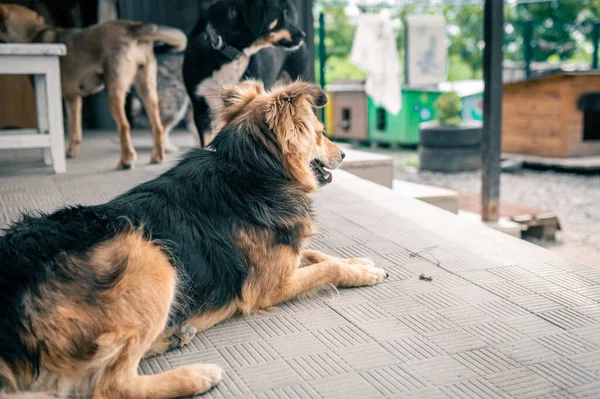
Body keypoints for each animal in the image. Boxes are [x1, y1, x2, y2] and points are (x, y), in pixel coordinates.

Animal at [0, 4, 186, 170]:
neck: (33, 33)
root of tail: (131, 26)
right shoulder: (73, 99)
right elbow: (75, 130)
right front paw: (70, 152)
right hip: (147, 89)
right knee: (158, 125)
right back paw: (157, 156)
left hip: (114, 91)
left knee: (125, 126)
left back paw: (126, 161)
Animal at [0, 82, 386, 399]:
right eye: (320, 133)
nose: (345, 154)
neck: (252, 170)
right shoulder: (271, 287)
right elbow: (325, 268)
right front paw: (360, 272)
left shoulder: (284, 255)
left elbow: (317, 253)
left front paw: (359, 262)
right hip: (152, 258)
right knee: (109, 385)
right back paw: (196, 376)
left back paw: (175, 335)